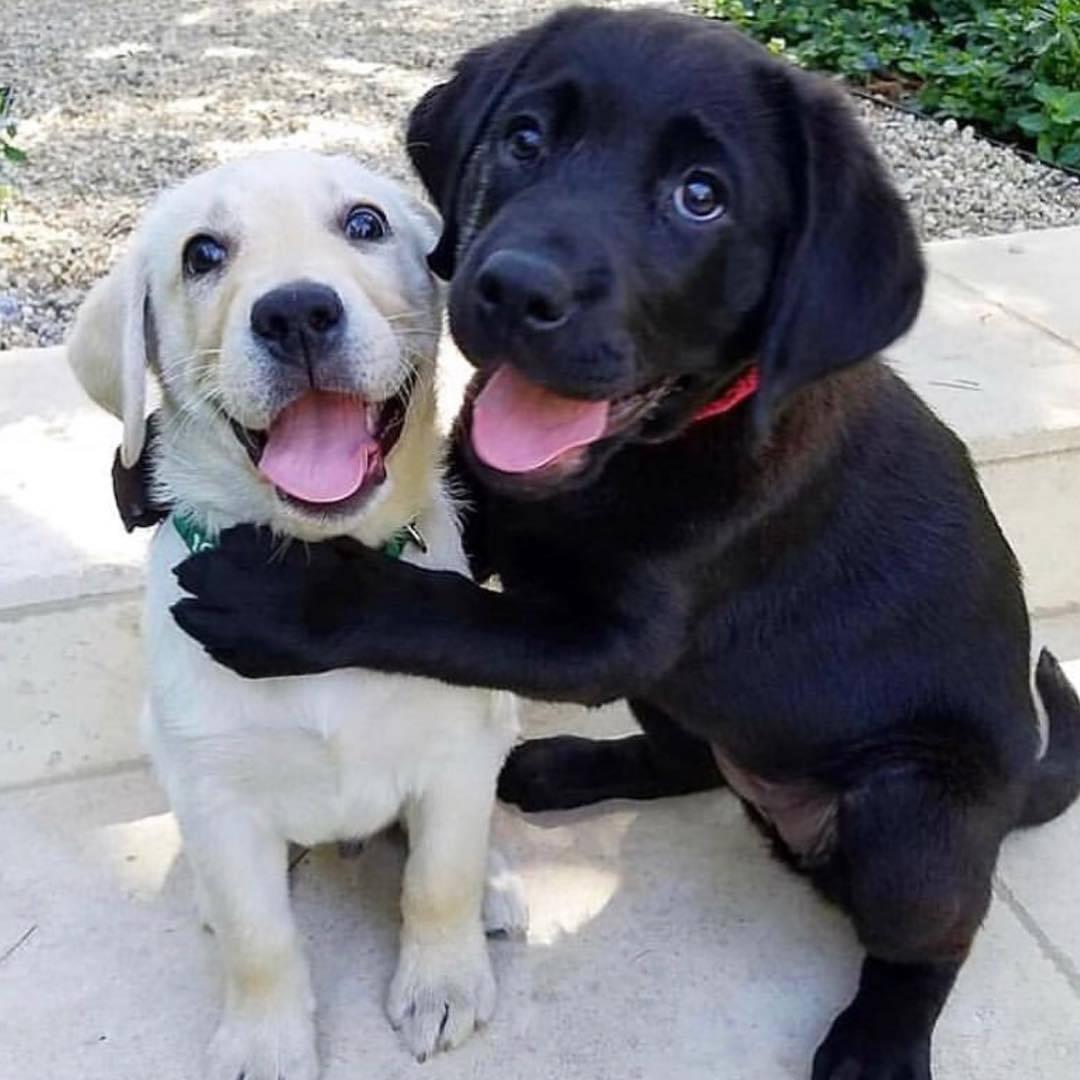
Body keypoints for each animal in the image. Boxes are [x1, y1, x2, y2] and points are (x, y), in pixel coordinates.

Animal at [168, 8, 1080, 1080]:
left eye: (701, 197)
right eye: (525, 139)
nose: (512, 288)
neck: (636, 457)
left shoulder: (611, 640)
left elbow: (443, 613)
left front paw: (283, 598)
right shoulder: (495, 515)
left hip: (913, 814)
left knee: (938, 933)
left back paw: (879, 1041)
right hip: (695, 704)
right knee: (690, 759)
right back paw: (561, 769)